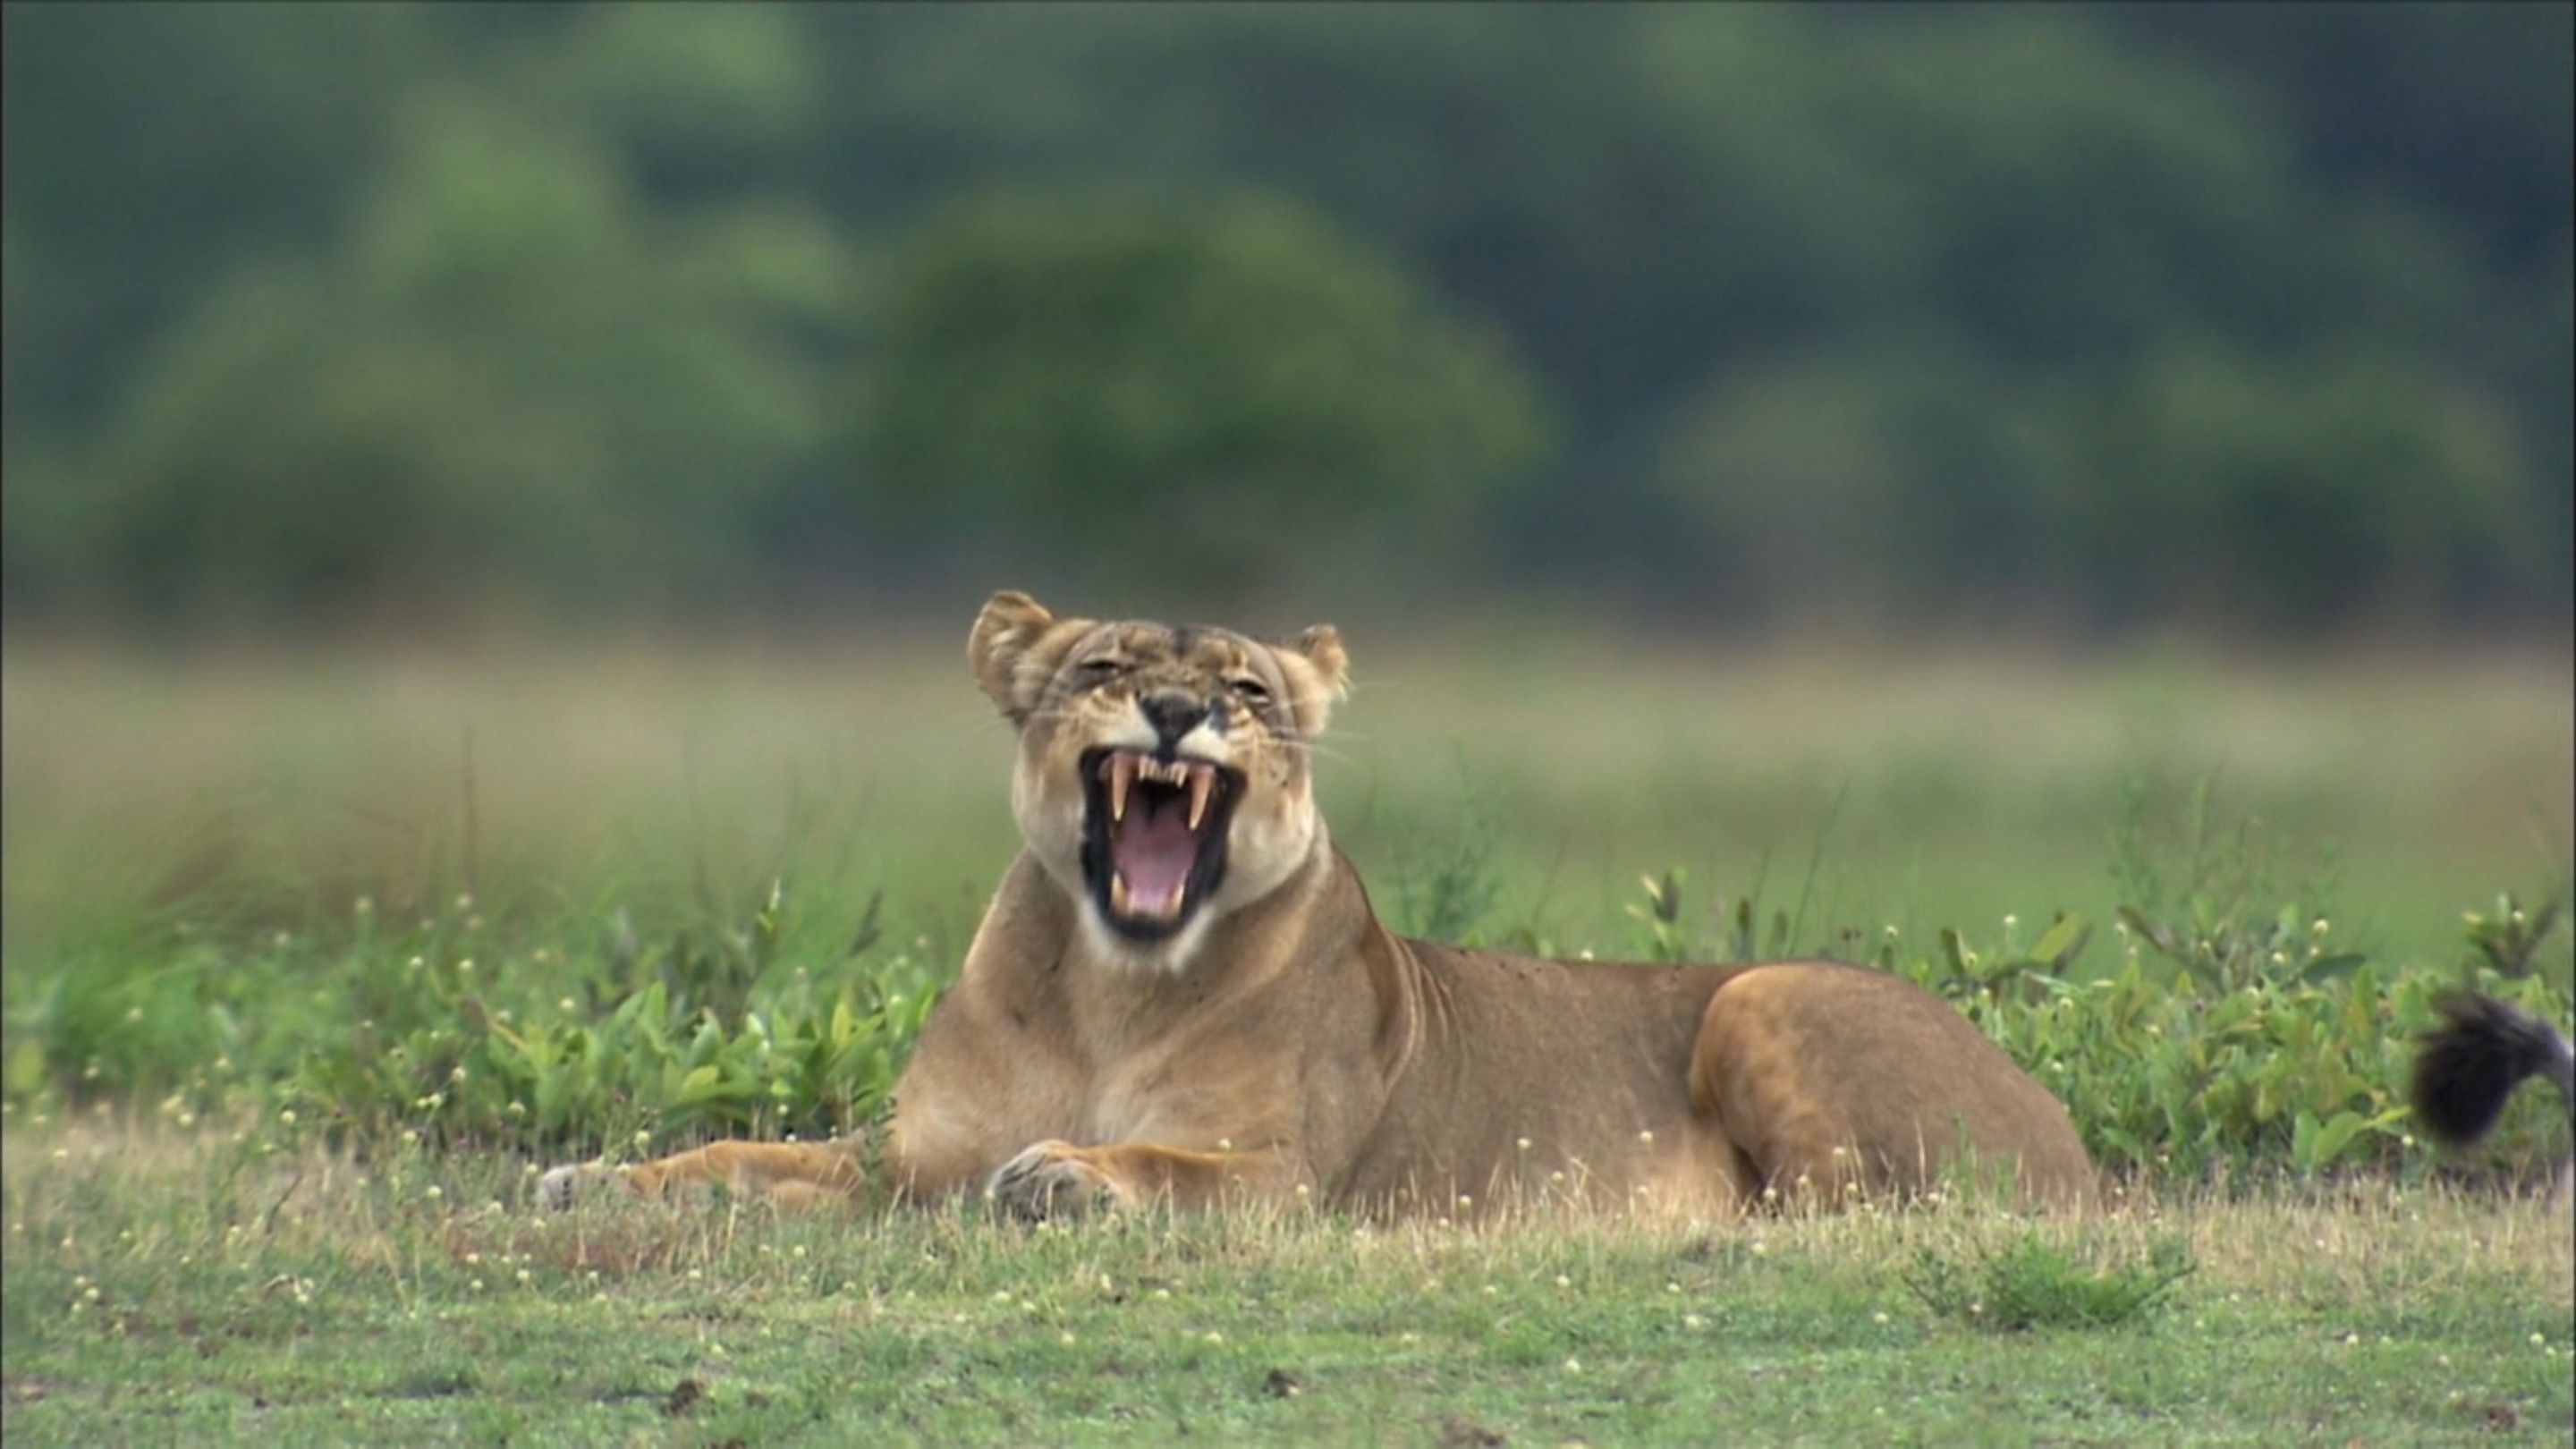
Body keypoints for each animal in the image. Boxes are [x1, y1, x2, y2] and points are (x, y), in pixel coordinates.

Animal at [540, 591, 2095, 1219]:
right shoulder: (902, 1163)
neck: (1109, 991)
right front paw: (591, 1179)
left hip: (1767, 995)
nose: (1178, 713)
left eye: (1245, 688)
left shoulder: (1291, 1181)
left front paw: (1067, 1178)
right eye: (1106, 670)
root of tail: (2077, 1139)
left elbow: (1170, 1167)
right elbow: (743, 1156)